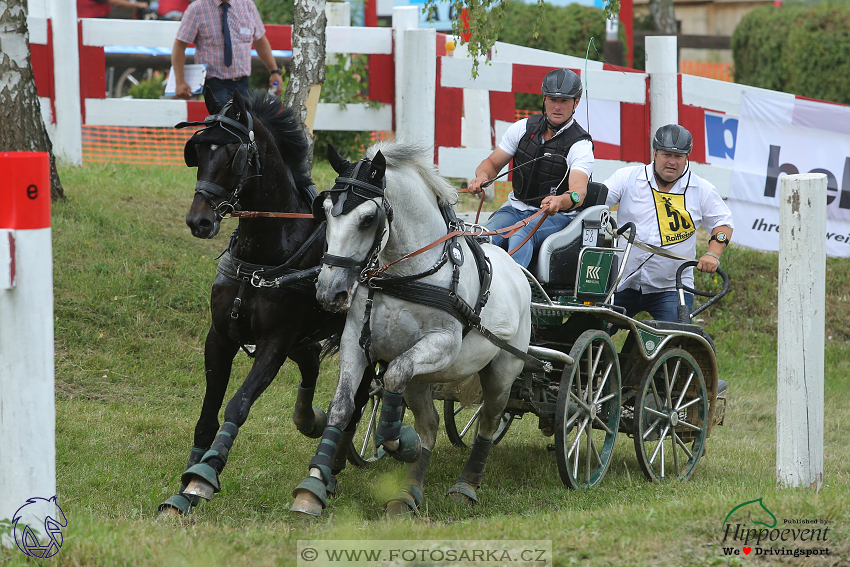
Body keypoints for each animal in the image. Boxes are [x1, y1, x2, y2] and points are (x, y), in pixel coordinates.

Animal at [160, 87, 372, 516]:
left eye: (233, 154)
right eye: (197, 150)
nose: (199, 221)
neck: (268, 251)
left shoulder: (275, 342)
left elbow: (237, 404)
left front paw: (204, 478)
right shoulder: (220, 337)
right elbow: (207, 414)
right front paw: (186, 483)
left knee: (360, 397)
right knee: (312, 366)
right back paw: (313, 424)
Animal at [292, 143, 528, 520]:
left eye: (367, 219)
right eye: (325, 212)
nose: (330, 292)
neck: (407, 275)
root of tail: (517, 267)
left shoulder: (442, 344)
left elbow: (392, 376)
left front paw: (397, 442)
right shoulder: (357, 343)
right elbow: (343, 407)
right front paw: (313, 487)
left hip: (502, 371)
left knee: (489, 423)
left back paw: (465, 486)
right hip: (423, 379)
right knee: (429, 425)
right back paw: (407, 493)